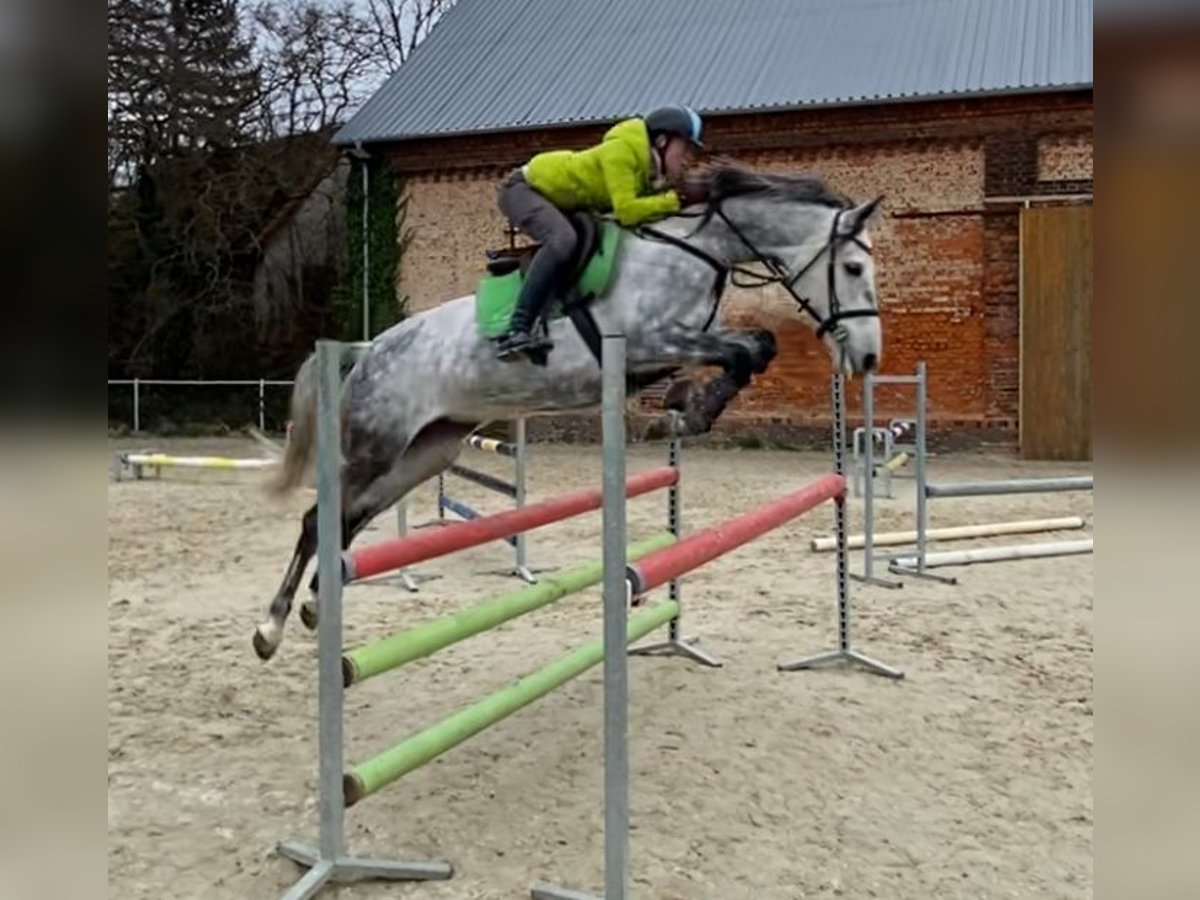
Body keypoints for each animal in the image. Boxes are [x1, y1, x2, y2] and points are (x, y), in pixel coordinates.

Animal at [253, 169, 883, 657]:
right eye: (854, 269)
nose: (868, 357)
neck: (697, 250)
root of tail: (366, 351)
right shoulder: (649, 342)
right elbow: (742, 350)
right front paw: (687, 414)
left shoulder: (671, 349)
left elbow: (755, 347)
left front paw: (689, 412)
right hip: (376, 446)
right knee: (318, 519)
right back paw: (271, 626)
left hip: (427, 452)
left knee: (346, 521)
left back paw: (315, 607)